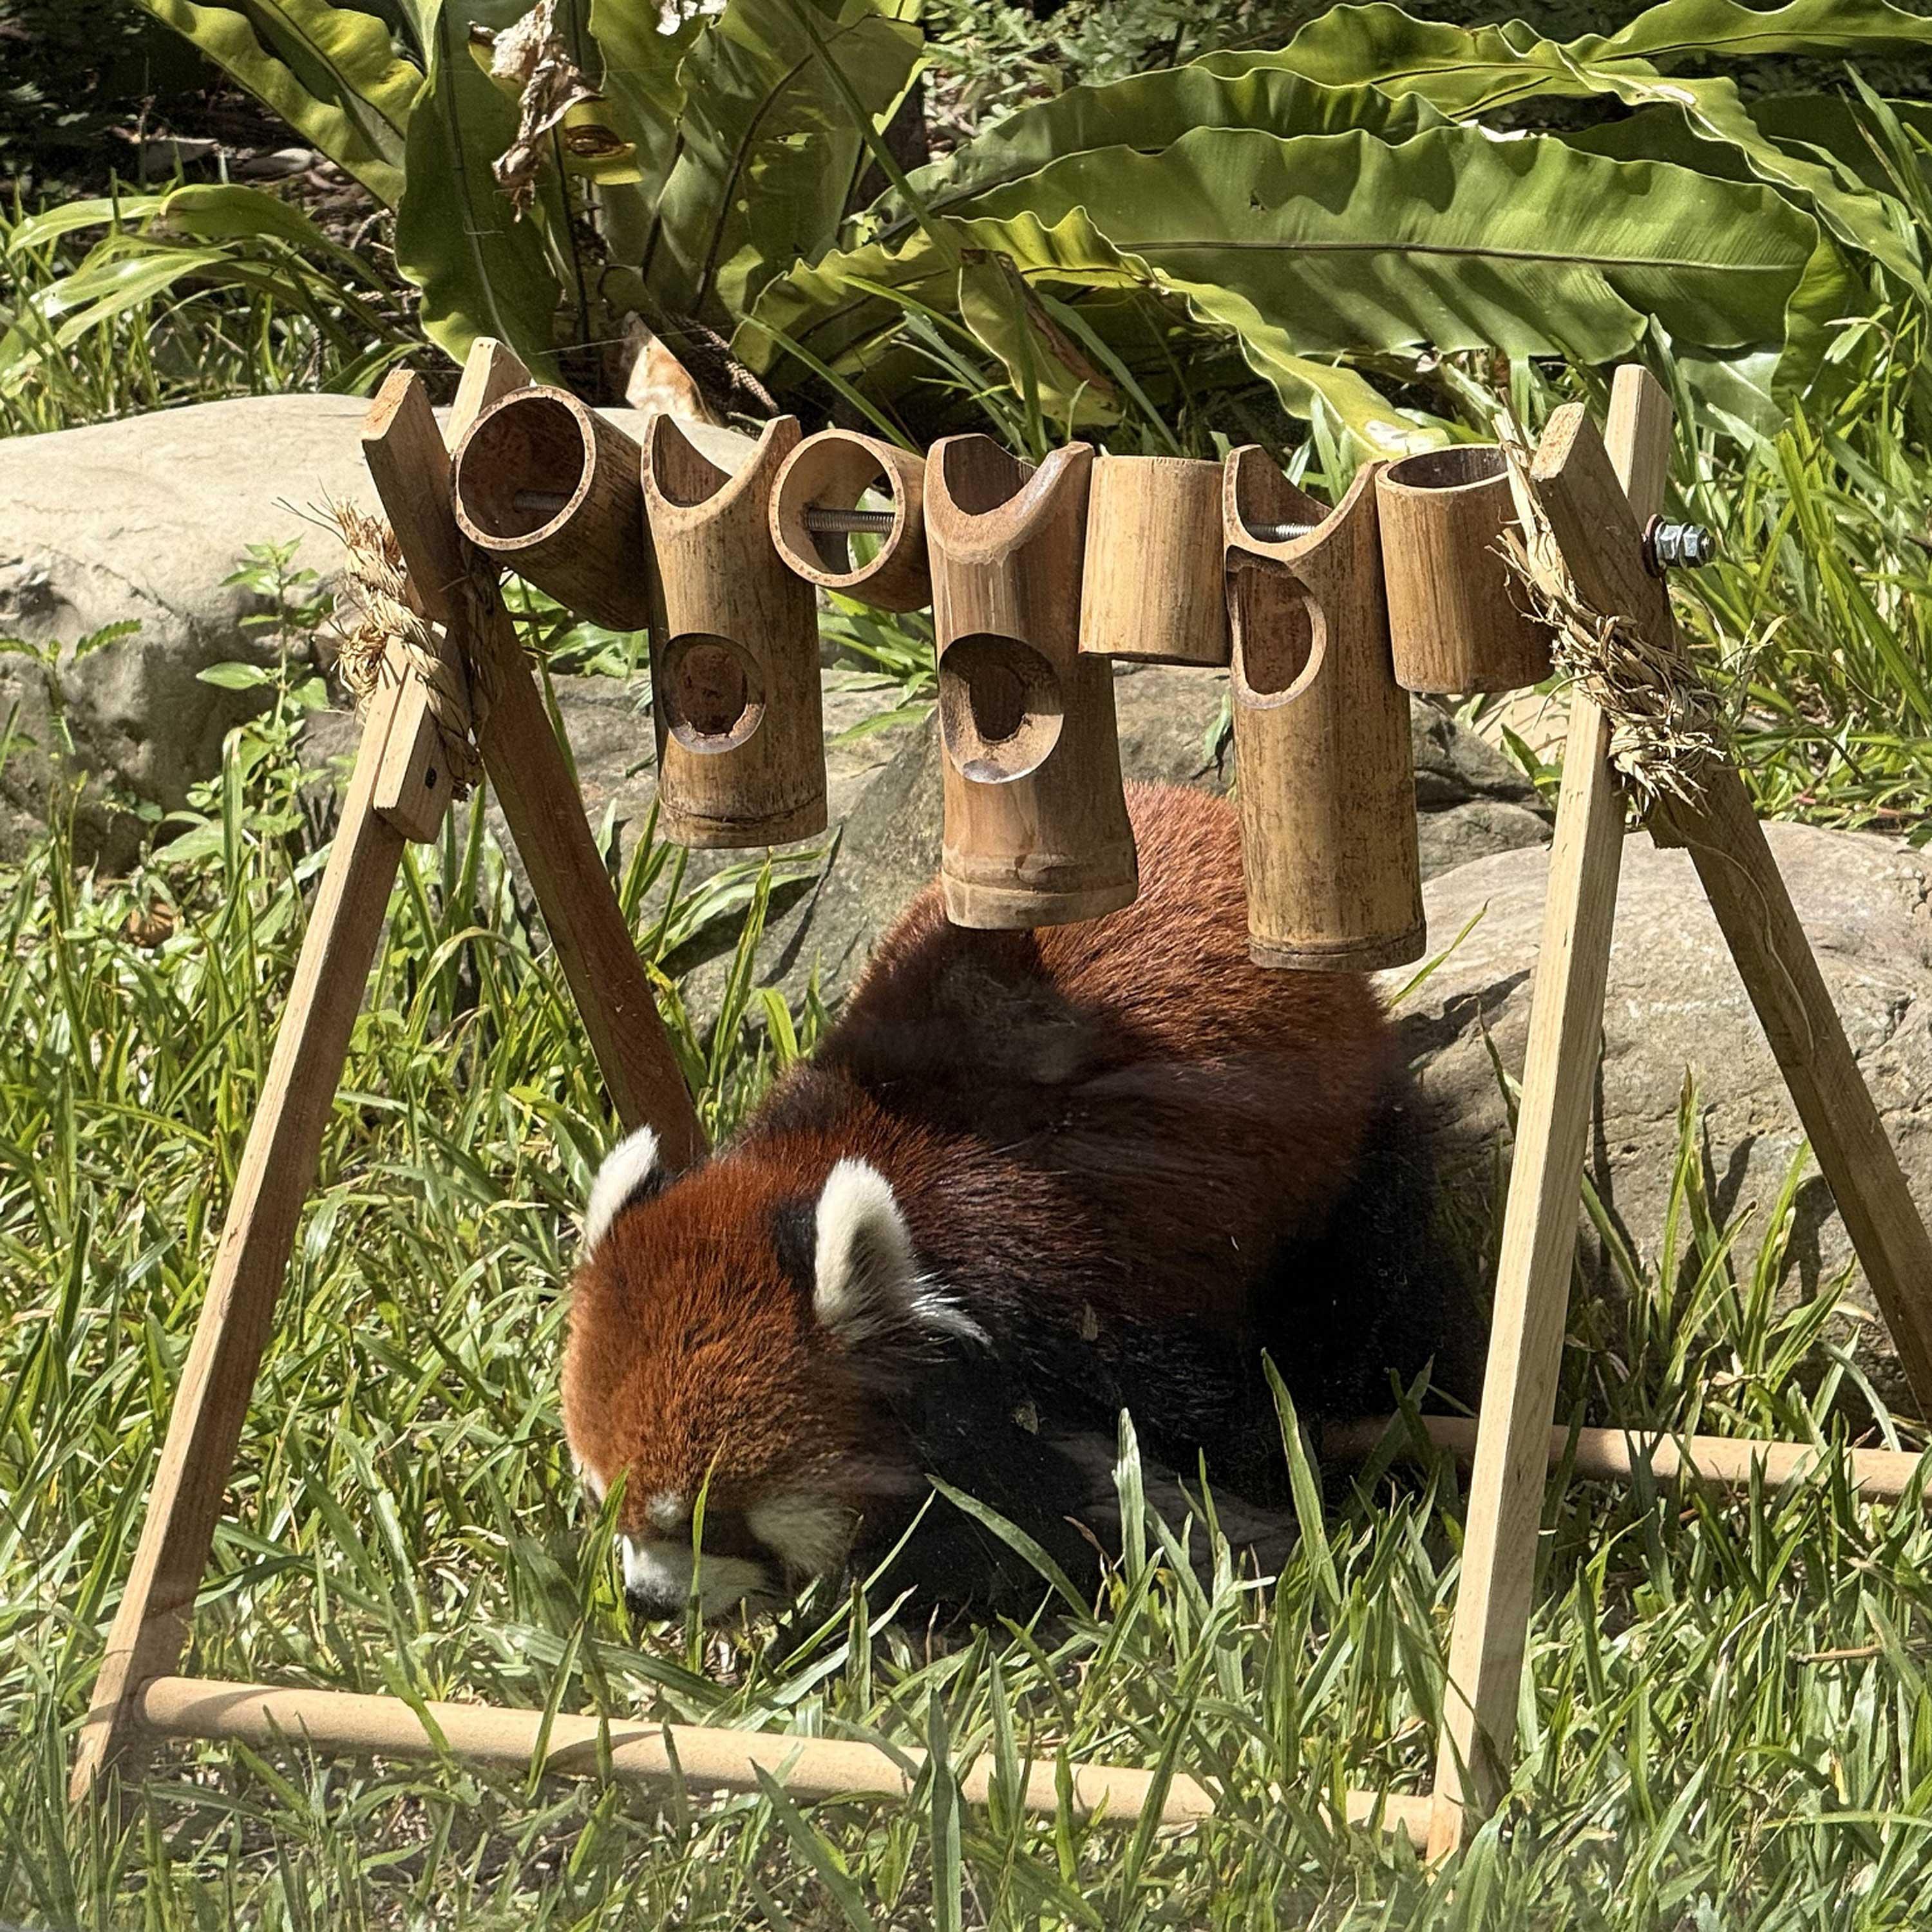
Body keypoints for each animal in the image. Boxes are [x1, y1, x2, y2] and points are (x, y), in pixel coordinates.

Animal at [561, 783, 1447, 1620]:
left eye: (707, 1521)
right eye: (607, 1504)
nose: (646, 1602)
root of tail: (1199, 806)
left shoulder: (1081, 1301)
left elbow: (1199, 1438)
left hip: (1347, 1155)